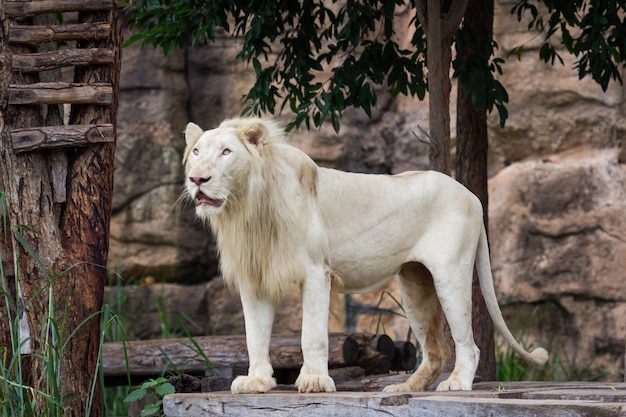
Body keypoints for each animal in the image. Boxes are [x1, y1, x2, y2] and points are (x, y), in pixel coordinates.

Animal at [182, 116, 544, 394]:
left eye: (226, 152)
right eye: (196, 151)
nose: (197, 178)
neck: (246, 209)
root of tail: (472, 195)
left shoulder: (316, 271)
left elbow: (312, 334)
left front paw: (314, 382)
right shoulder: (255, 276)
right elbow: (254, 335)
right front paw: (256, 382)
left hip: (449, 273)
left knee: (468, 344)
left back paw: (456, 384)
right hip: (415, 286)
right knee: (435, 351)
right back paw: (403, 388)